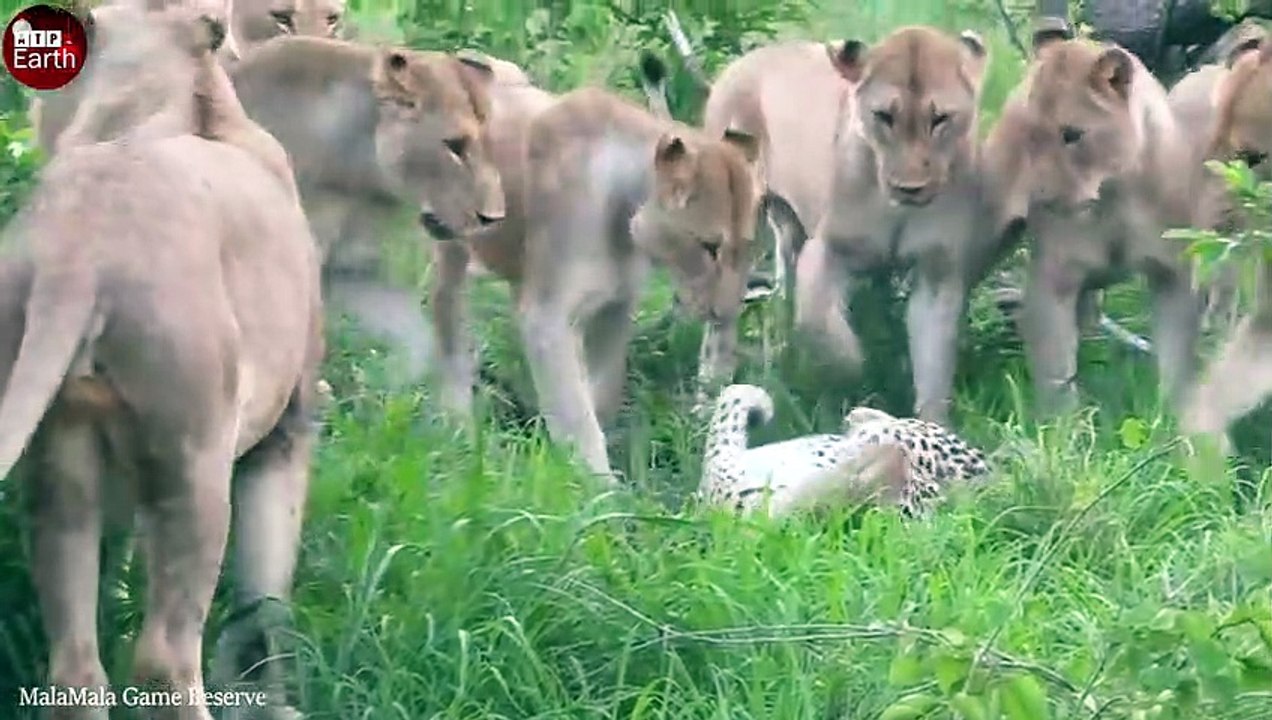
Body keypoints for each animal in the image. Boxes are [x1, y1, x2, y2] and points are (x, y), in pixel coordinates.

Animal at [0, 9, 321, 720]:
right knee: (165, 655)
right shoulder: (288, 430)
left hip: (60, 455)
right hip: (196, 462)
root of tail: (80, 250)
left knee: (77, 667)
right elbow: (267, 600)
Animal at [436, 86, 760, 479]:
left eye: (746, 247)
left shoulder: (616, 305)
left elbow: (599, 391)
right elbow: (575, 410)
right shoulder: (547, 316)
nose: (725, 314)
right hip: (451, 254)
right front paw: (596, 484)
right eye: (709, 247)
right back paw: (459, 430)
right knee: (448, 330)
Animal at [982, 20, 1214, 418]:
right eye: (1029, 133)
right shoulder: (1053, 278)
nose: (1038, 196)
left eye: (1072, 135)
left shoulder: (1173, 274)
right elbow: (1056, 369)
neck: (1113, 199)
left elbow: (1179, 360)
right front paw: (1063, 427)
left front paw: (1180, 422)